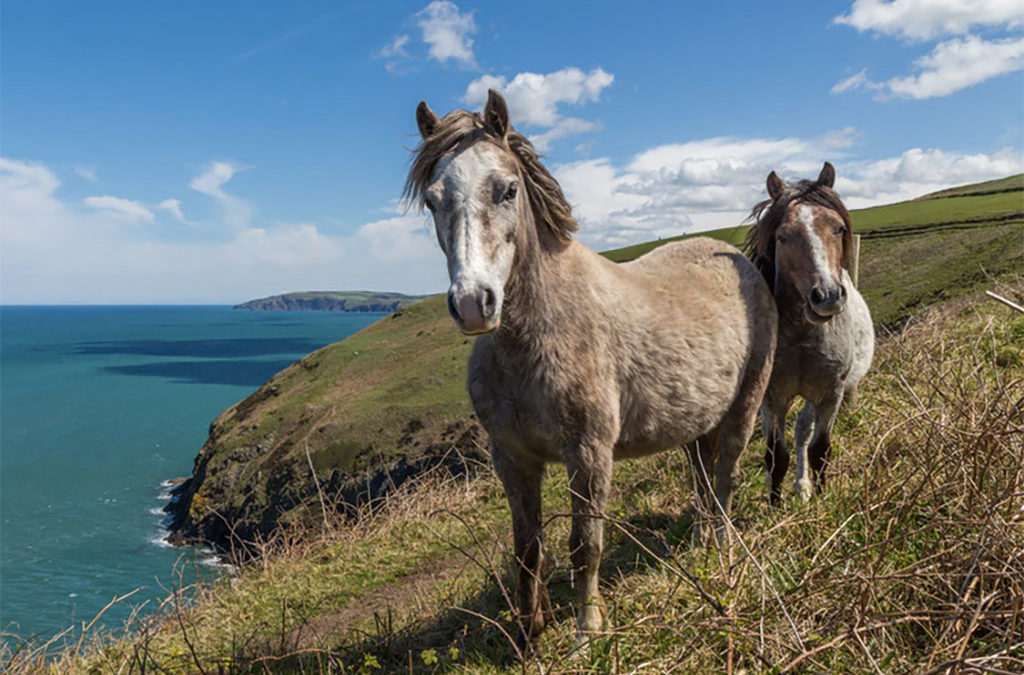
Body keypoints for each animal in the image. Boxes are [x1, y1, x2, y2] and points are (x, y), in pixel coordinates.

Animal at [407, 89, 774, 651]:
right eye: (433, 199)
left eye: (507, 189)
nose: (472, 304)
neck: (532, 340)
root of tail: (738, 258)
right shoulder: (512, 459)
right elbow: (527, 549)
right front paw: (528, 633)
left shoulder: (588, 453)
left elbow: (585, 544)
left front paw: (587, 632)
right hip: (695, 423)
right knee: (703, 478)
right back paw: (700, 541)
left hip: (745, 407)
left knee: (727, 477)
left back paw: (724, 548)